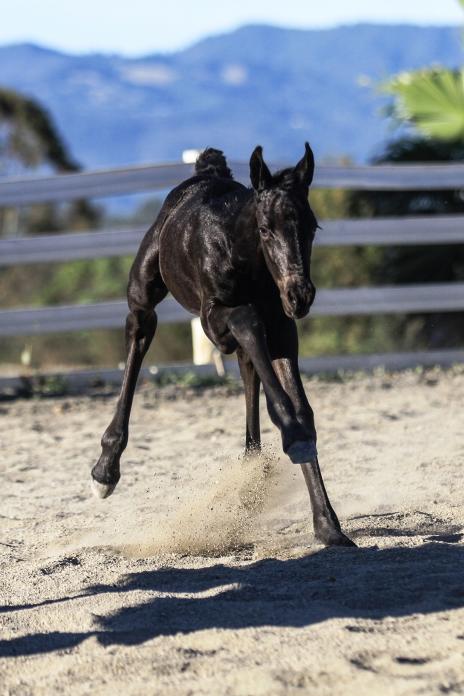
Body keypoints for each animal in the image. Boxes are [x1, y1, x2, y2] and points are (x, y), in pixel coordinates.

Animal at [91, 145, 356, 548]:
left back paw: (251, 478)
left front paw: (328, 525)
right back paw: (106, 470)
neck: (241, 252)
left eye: (312, 227)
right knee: (140, 332)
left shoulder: (282, 327)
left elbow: (301, 406)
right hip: (144, 290)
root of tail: (206, 170)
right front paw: (292, 434)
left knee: (248, 368)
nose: (300, 296)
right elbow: (247, 323)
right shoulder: (214, 320)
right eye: (265, 229)